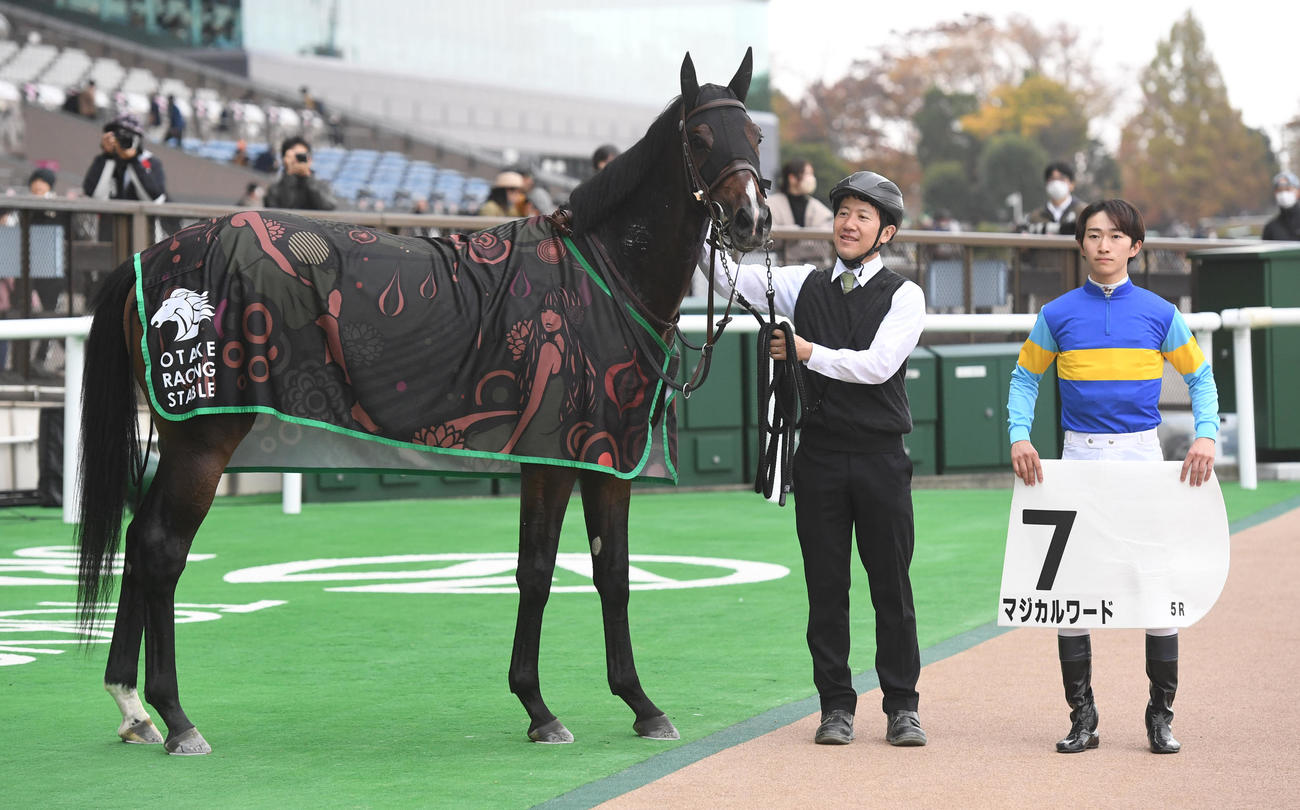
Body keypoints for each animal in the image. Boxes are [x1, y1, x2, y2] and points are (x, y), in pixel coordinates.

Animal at [74, 49, 771, 754]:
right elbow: (538, 569)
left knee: (138, 540)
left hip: (181, 436)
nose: (751, 221)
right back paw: (176, 717)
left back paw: (132, 706)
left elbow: (614, 573)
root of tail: (153, 256)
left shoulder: (607, 456)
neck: (600, 277)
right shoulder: (552, 454)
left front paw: (640, 704)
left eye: (755, 136)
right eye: (700, 137)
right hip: (203, 438)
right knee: (162, 548)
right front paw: (539, 708)